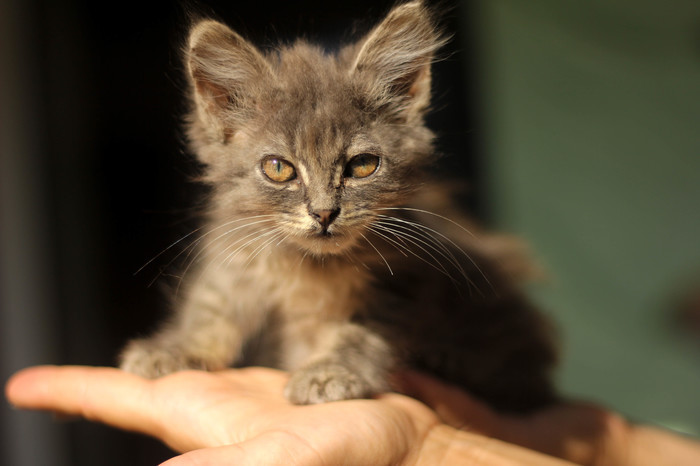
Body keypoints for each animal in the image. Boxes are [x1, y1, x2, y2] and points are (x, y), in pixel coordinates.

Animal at [120, 1, 556, 414]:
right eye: (278, 168)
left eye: (362, 165)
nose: (324, 213)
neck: (309, 268)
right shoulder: (236, 249)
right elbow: (211, 304)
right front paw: (175, 347)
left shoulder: (403, 278)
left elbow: (360, 333)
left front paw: (331, 371)